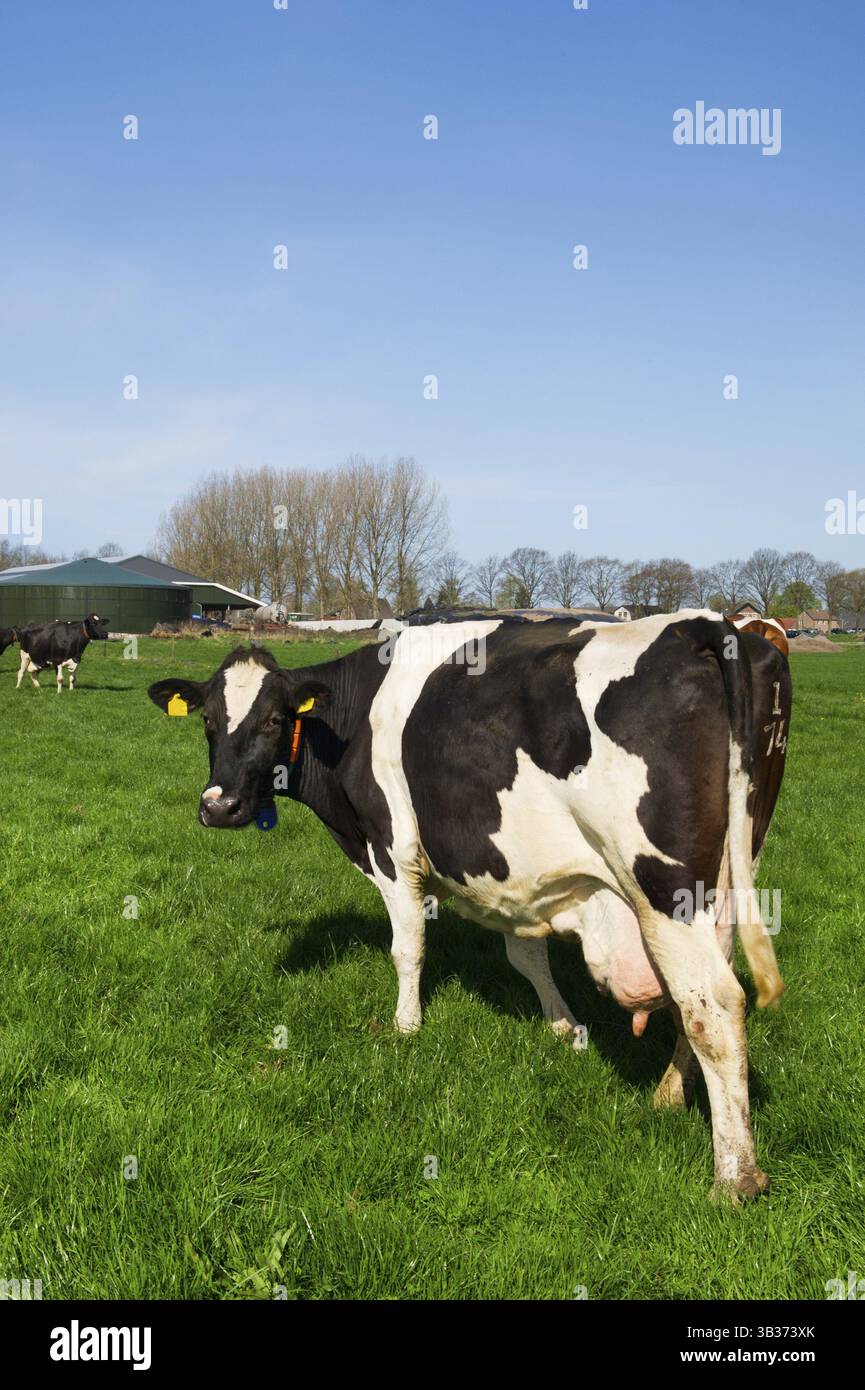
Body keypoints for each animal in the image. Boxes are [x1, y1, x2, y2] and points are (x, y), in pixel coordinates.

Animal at [148, 609, 791, 1200]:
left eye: (275, 719)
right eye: (208, 720)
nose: (219, 806)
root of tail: (701, 625)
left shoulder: (392, 849)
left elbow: (407, 948)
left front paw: (406, 1026)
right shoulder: (507, 874)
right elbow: (525, 957)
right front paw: (565, 1028)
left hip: (663, 886)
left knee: (712, 1005)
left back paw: (735, 1176)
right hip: (731, 872)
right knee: (701, 994)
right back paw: (668, 1095)